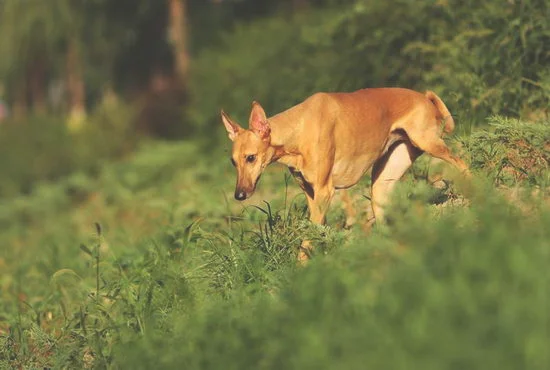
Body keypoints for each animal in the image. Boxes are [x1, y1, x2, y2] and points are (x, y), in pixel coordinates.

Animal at [222, 87, 472, 260]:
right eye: (233, 162)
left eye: (251, 157)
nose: (239, 195)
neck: (298, 128)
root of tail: (424, 97)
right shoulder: (312, 195)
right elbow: (317, 233)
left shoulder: (325, 191)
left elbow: (308, 239)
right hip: (381, 184)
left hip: (431, 144)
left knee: (463, 164)